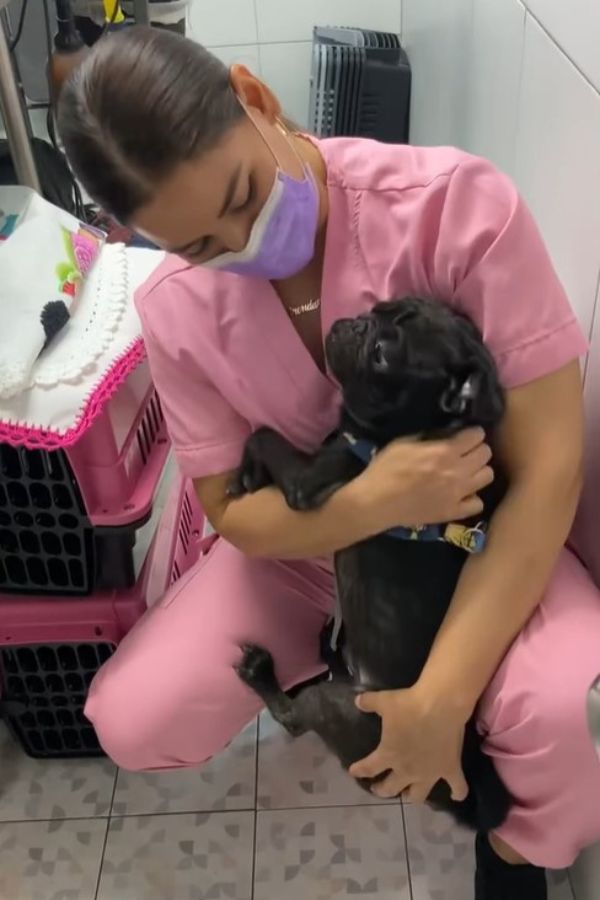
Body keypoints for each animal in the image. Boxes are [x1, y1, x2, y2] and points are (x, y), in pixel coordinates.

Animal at [232, 298, 512, 832]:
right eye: (380, 307)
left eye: (382, 356)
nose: (356, 324)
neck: (413, 430)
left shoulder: (308, 481)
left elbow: (264, 435)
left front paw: (247, 472)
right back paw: (328, 645)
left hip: (340, 709)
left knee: (295, 717)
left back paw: (262, 674)